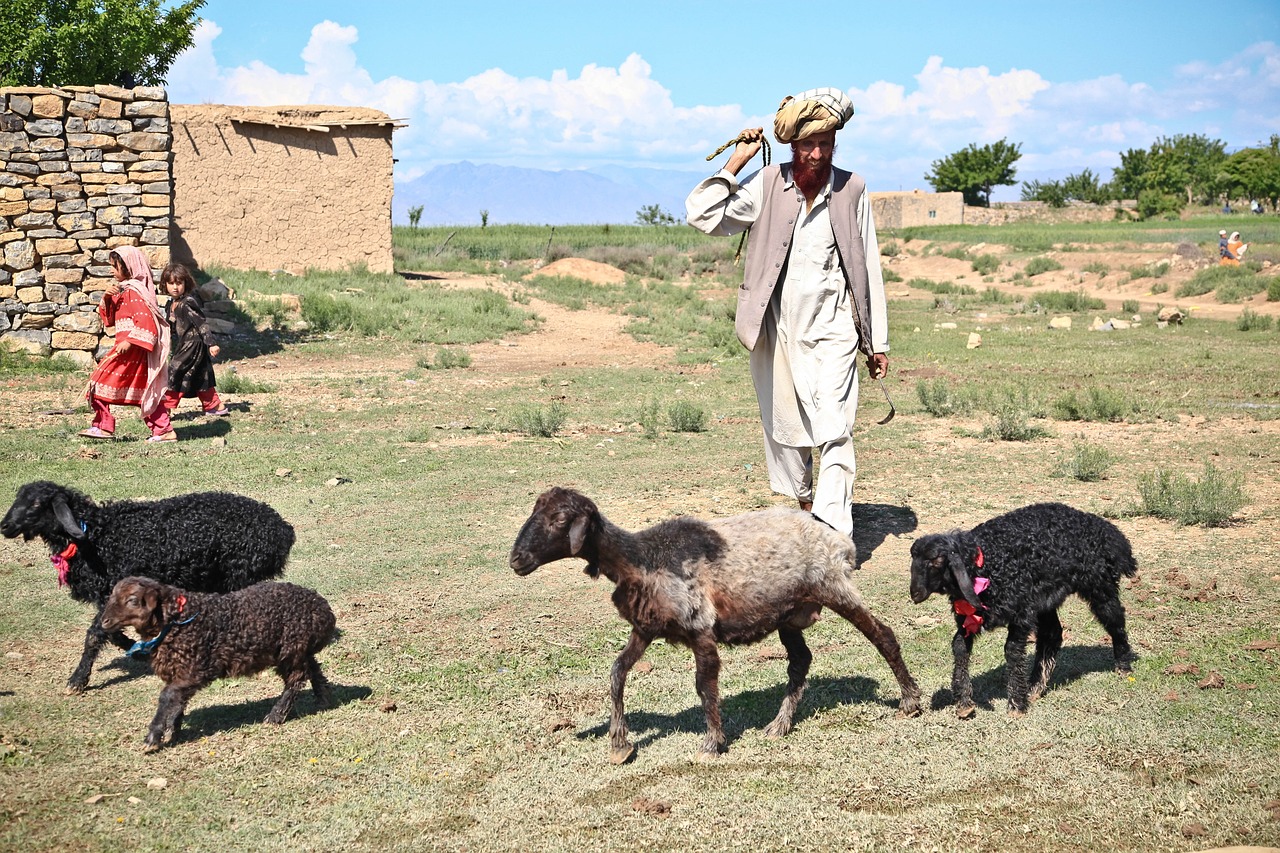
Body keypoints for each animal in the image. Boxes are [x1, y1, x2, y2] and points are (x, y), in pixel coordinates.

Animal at [1, 479, 294, 691]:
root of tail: (283, 529)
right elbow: (110, 631)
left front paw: (77, 679)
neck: (96, 535)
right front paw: (136, 648)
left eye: (36, 504)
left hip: (239, 575)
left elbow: (95, 633)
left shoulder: (114, 588)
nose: (4, 526)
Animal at [504, 484, 916, 763]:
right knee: (800, 661)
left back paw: (910, 700)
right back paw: (779, 725)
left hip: (834, 587)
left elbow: (704, 686)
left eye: (560, 519)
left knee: (882, 635)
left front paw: (712, 744)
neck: (639, 558)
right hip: (788, 613)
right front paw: (620, 744)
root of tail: (838, 538)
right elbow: (617, 671)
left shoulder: (700, 628)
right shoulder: (646, 627)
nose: (516, 560)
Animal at [906, 502, 1136, 712]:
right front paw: (964, 702)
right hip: (1045, 600)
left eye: (936, 560)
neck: (988, 564)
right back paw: (1035, 686)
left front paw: (1016, 703)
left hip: (1100, 586)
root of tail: (1109, 532)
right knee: (1052, 634)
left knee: (1115, 620)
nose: (914, 593)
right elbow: (959, 646)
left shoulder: (1021, 614)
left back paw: (1123, 666)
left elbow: (1013, 651)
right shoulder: (969, 617)